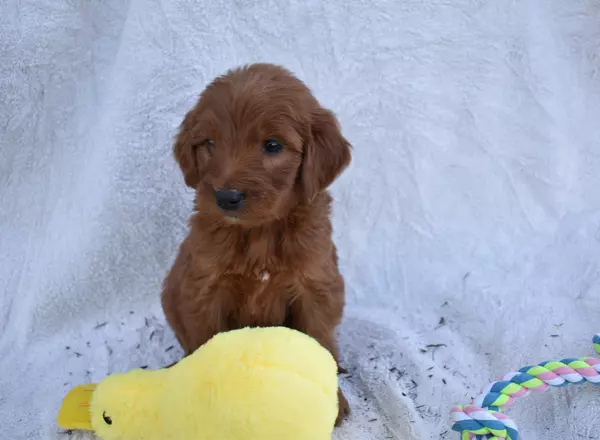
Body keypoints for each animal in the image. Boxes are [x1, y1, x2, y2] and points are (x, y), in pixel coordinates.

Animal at [161, 63, 352, 424]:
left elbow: (318, 339)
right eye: (209, 143)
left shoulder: (316, 286)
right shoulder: (203, 289)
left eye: (273, 145)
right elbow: (206, 343)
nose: (226, 197)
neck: (259, 234)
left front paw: (330, 401)